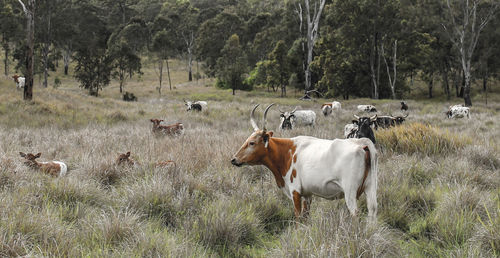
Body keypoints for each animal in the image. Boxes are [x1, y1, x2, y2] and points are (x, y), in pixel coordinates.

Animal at [231, 104, 378, 221]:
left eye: (252, 143)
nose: (234, 159)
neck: (287, 152)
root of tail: (361, 143)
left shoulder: (295, 191)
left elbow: (298, 216)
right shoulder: (308, 194)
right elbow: (306, 216)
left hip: (350, 192)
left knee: (355, 213)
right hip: (370, 188)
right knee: (372, 210)